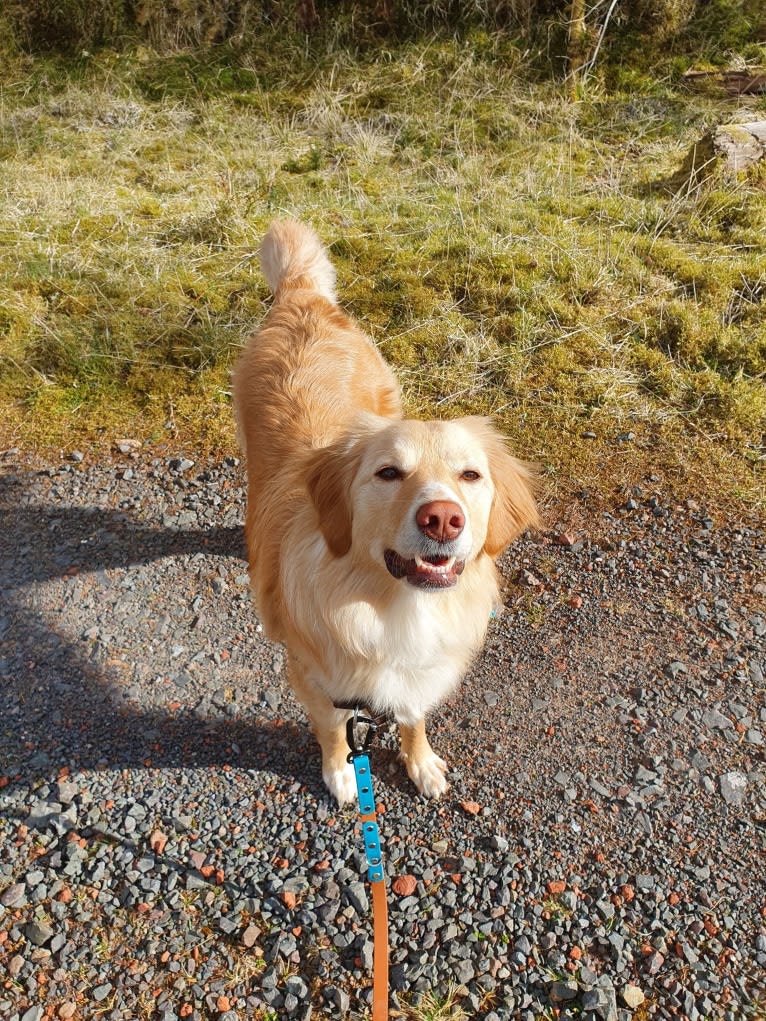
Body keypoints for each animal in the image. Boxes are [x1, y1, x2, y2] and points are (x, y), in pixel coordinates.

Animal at [233, 221, 539, 804]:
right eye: (388, 473)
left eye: (470, 475)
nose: (442, 518)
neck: (398, 607)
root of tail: (302, 297)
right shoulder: (314, 679)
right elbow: (333, 730)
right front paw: (341, 773)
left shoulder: (416, 673)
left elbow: (413, 717)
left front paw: (420, 763)